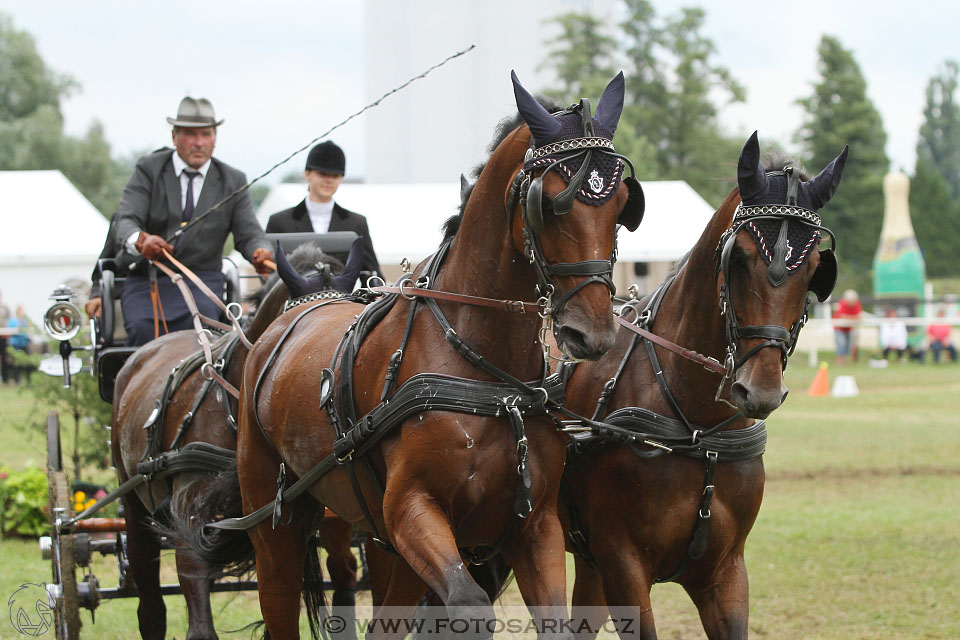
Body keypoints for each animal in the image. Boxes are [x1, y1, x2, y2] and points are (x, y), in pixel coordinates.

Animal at [183, 70, 640, 636]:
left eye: (622, 205)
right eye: (551, 201)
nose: (592, 332)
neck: (492, 381)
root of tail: (289, 316)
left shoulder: (534, 526)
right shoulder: (411, 510)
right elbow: (468, 605)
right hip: (276, 524)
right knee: (280, 598)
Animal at [564, 132, 848, 636]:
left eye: (816, 264)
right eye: (739, 257)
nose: (760, 390)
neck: (697, 428)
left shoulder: (725, 570)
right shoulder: (622, 563)